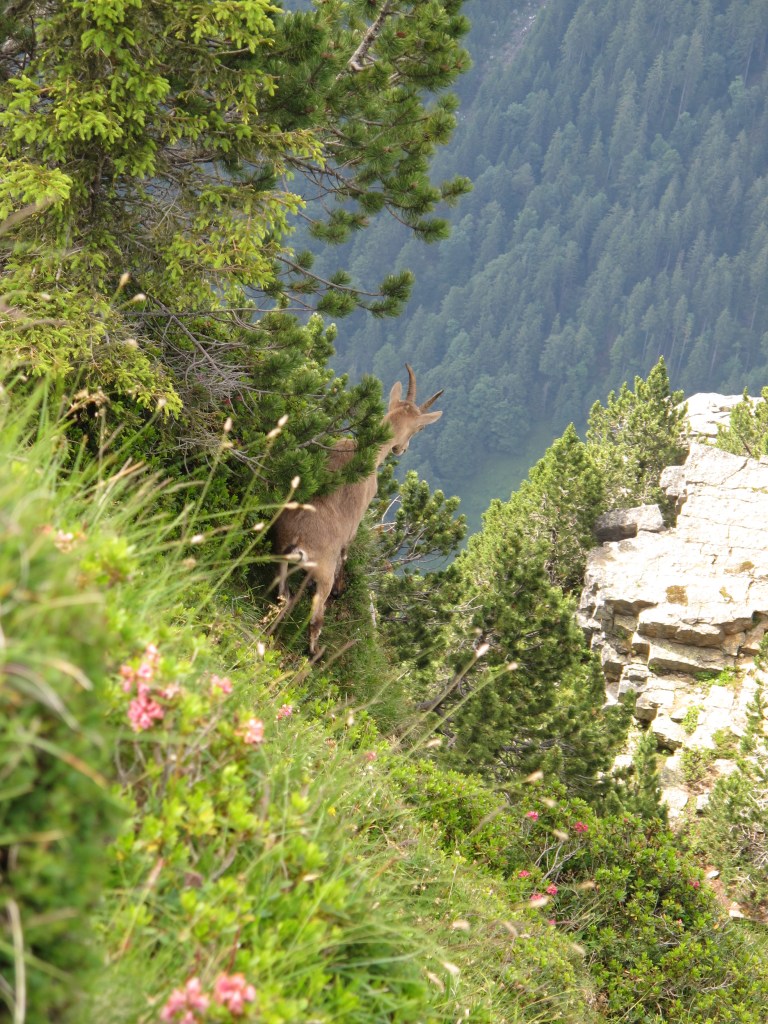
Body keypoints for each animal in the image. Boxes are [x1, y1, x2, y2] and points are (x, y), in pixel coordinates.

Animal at [272, 365, 443, 656]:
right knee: (315, 619)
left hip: (280, 556)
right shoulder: (355, 522)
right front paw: (342, 588)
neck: (369, 452)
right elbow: (346, 552)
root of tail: (296, 541)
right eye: (419, 427)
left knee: (283, 597)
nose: (402, 448)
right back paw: (316, 654)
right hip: (322, 572)